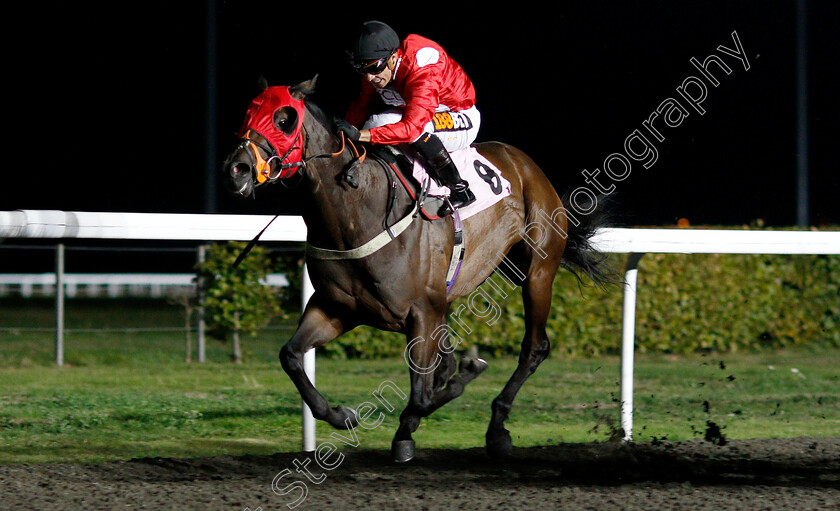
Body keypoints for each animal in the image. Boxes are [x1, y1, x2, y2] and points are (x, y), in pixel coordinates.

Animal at [226, 77, 612, 464]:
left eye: (284, 119)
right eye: (248, 112)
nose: (237, 168)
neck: (358, 211)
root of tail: (524, 162)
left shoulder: (422, 312)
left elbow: (424, 394)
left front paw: (447, 392)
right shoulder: (337, 308)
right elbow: (290, 356)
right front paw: (343, 415)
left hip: (537, 271)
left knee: (534, 346)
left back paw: (497, 429)